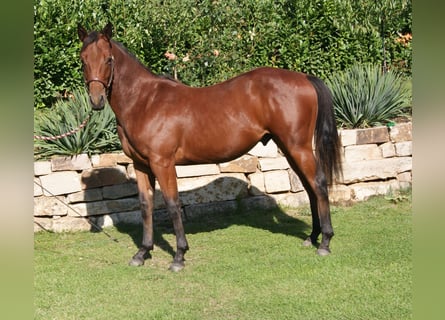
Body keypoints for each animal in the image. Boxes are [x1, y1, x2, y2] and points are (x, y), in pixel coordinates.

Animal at [77, 23, 340, 272]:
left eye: (108, 59)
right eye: (83, 59)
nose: (97, 100)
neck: (145, 101)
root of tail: (304, 78)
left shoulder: (163, 163)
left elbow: (172, 204)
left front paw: (179, 256)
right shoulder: (141, 164)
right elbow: (145, 205)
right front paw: (142, 253)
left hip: (299, 148)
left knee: (318, 184)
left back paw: (325, 242)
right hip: (288, 148)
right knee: (309, 187)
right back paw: (312, 237)